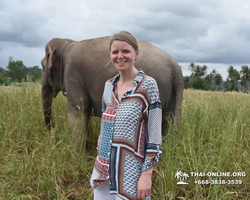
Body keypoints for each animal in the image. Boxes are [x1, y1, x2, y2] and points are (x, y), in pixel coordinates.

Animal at [41, 36, 184, 152]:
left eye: (42, 66)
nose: (50, 133)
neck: (68, 43)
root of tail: (176, 67)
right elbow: (85, 114)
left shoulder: (72, 74)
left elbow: (77, 110)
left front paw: (79, 157)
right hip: (171, 94)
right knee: (168, 120)